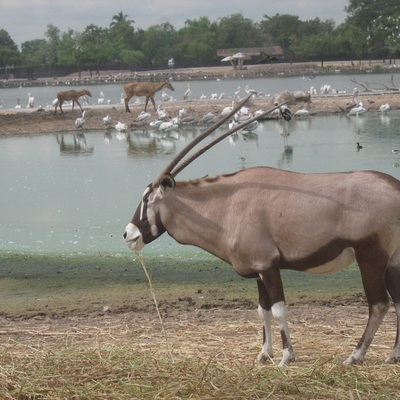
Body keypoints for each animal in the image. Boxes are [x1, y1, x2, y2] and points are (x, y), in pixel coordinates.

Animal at [124, 96, 400, 366]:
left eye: (147, 198)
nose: (128, 234)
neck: (227, 205)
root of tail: (396, 188)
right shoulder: (257, 270)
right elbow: (262, 310)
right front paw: (264, 354)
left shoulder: (268, 266)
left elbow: (278, 309)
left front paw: (287, 356)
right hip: (392, 261)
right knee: (397, 301)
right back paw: (393, 355)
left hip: (371, 258)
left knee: (379, 304)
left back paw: (355, 356)